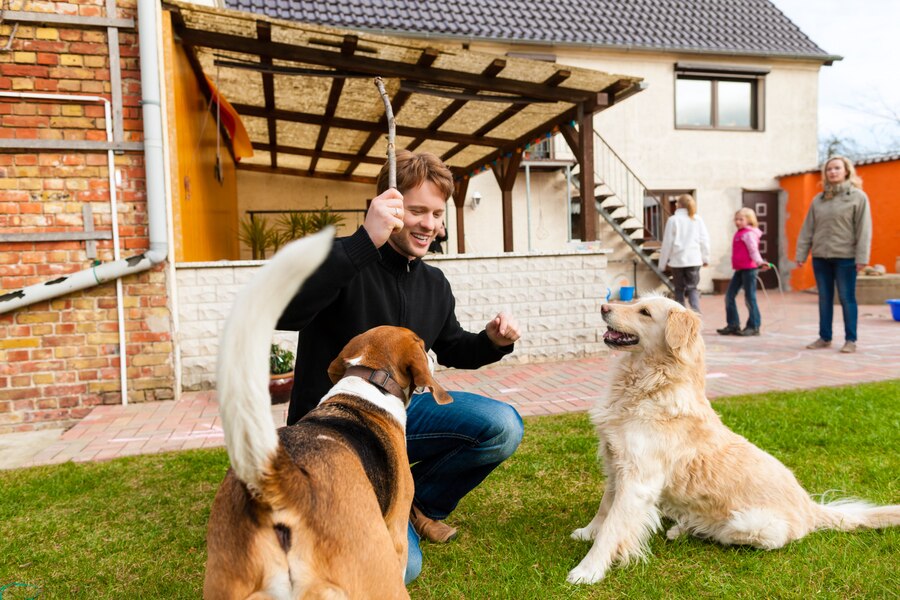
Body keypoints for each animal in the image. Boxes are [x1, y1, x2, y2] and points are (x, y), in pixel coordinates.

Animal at [207, 231, 454, 600]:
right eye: (422, 344)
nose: (435, 354)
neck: (369, 378)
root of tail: (282, 485)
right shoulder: (395, 531)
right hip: (378, 572)